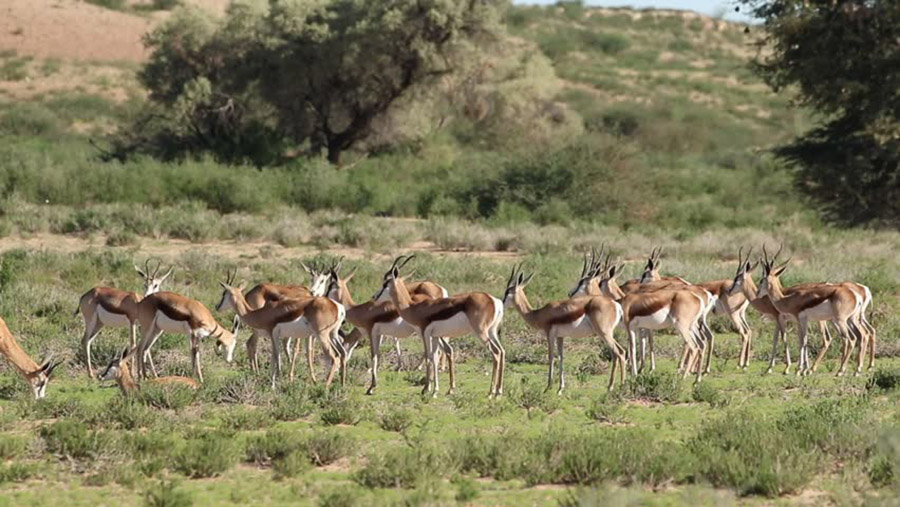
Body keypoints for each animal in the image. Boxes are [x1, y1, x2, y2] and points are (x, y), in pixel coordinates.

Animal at [382, 256, 502, 398]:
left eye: (385, 283)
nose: (374, 296)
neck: (413, 308)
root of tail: (493, 300)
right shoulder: (435, 336)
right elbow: (434, 357)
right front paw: (435, 390)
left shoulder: (425, 333)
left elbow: (429, 357)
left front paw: (426, 389)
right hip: (492, 332)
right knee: (501, 351)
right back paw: (498, 392)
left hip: (481, 333)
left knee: (495, 353)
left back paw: (490, 393)